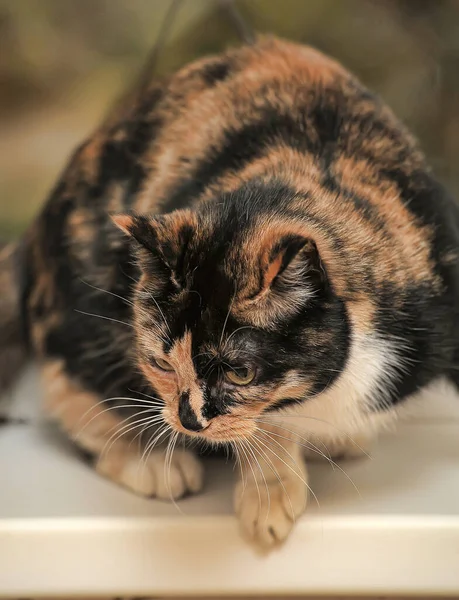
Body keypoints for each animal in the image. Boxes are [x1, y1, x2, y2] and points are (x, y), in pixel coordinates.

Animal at [0, 35, 459, 548]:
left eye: (240, 373)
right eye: (161, 363)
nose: (189, 421)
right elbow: (263, 425)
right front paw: (269, 497)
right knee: (69, 388)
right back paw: (151, 461)